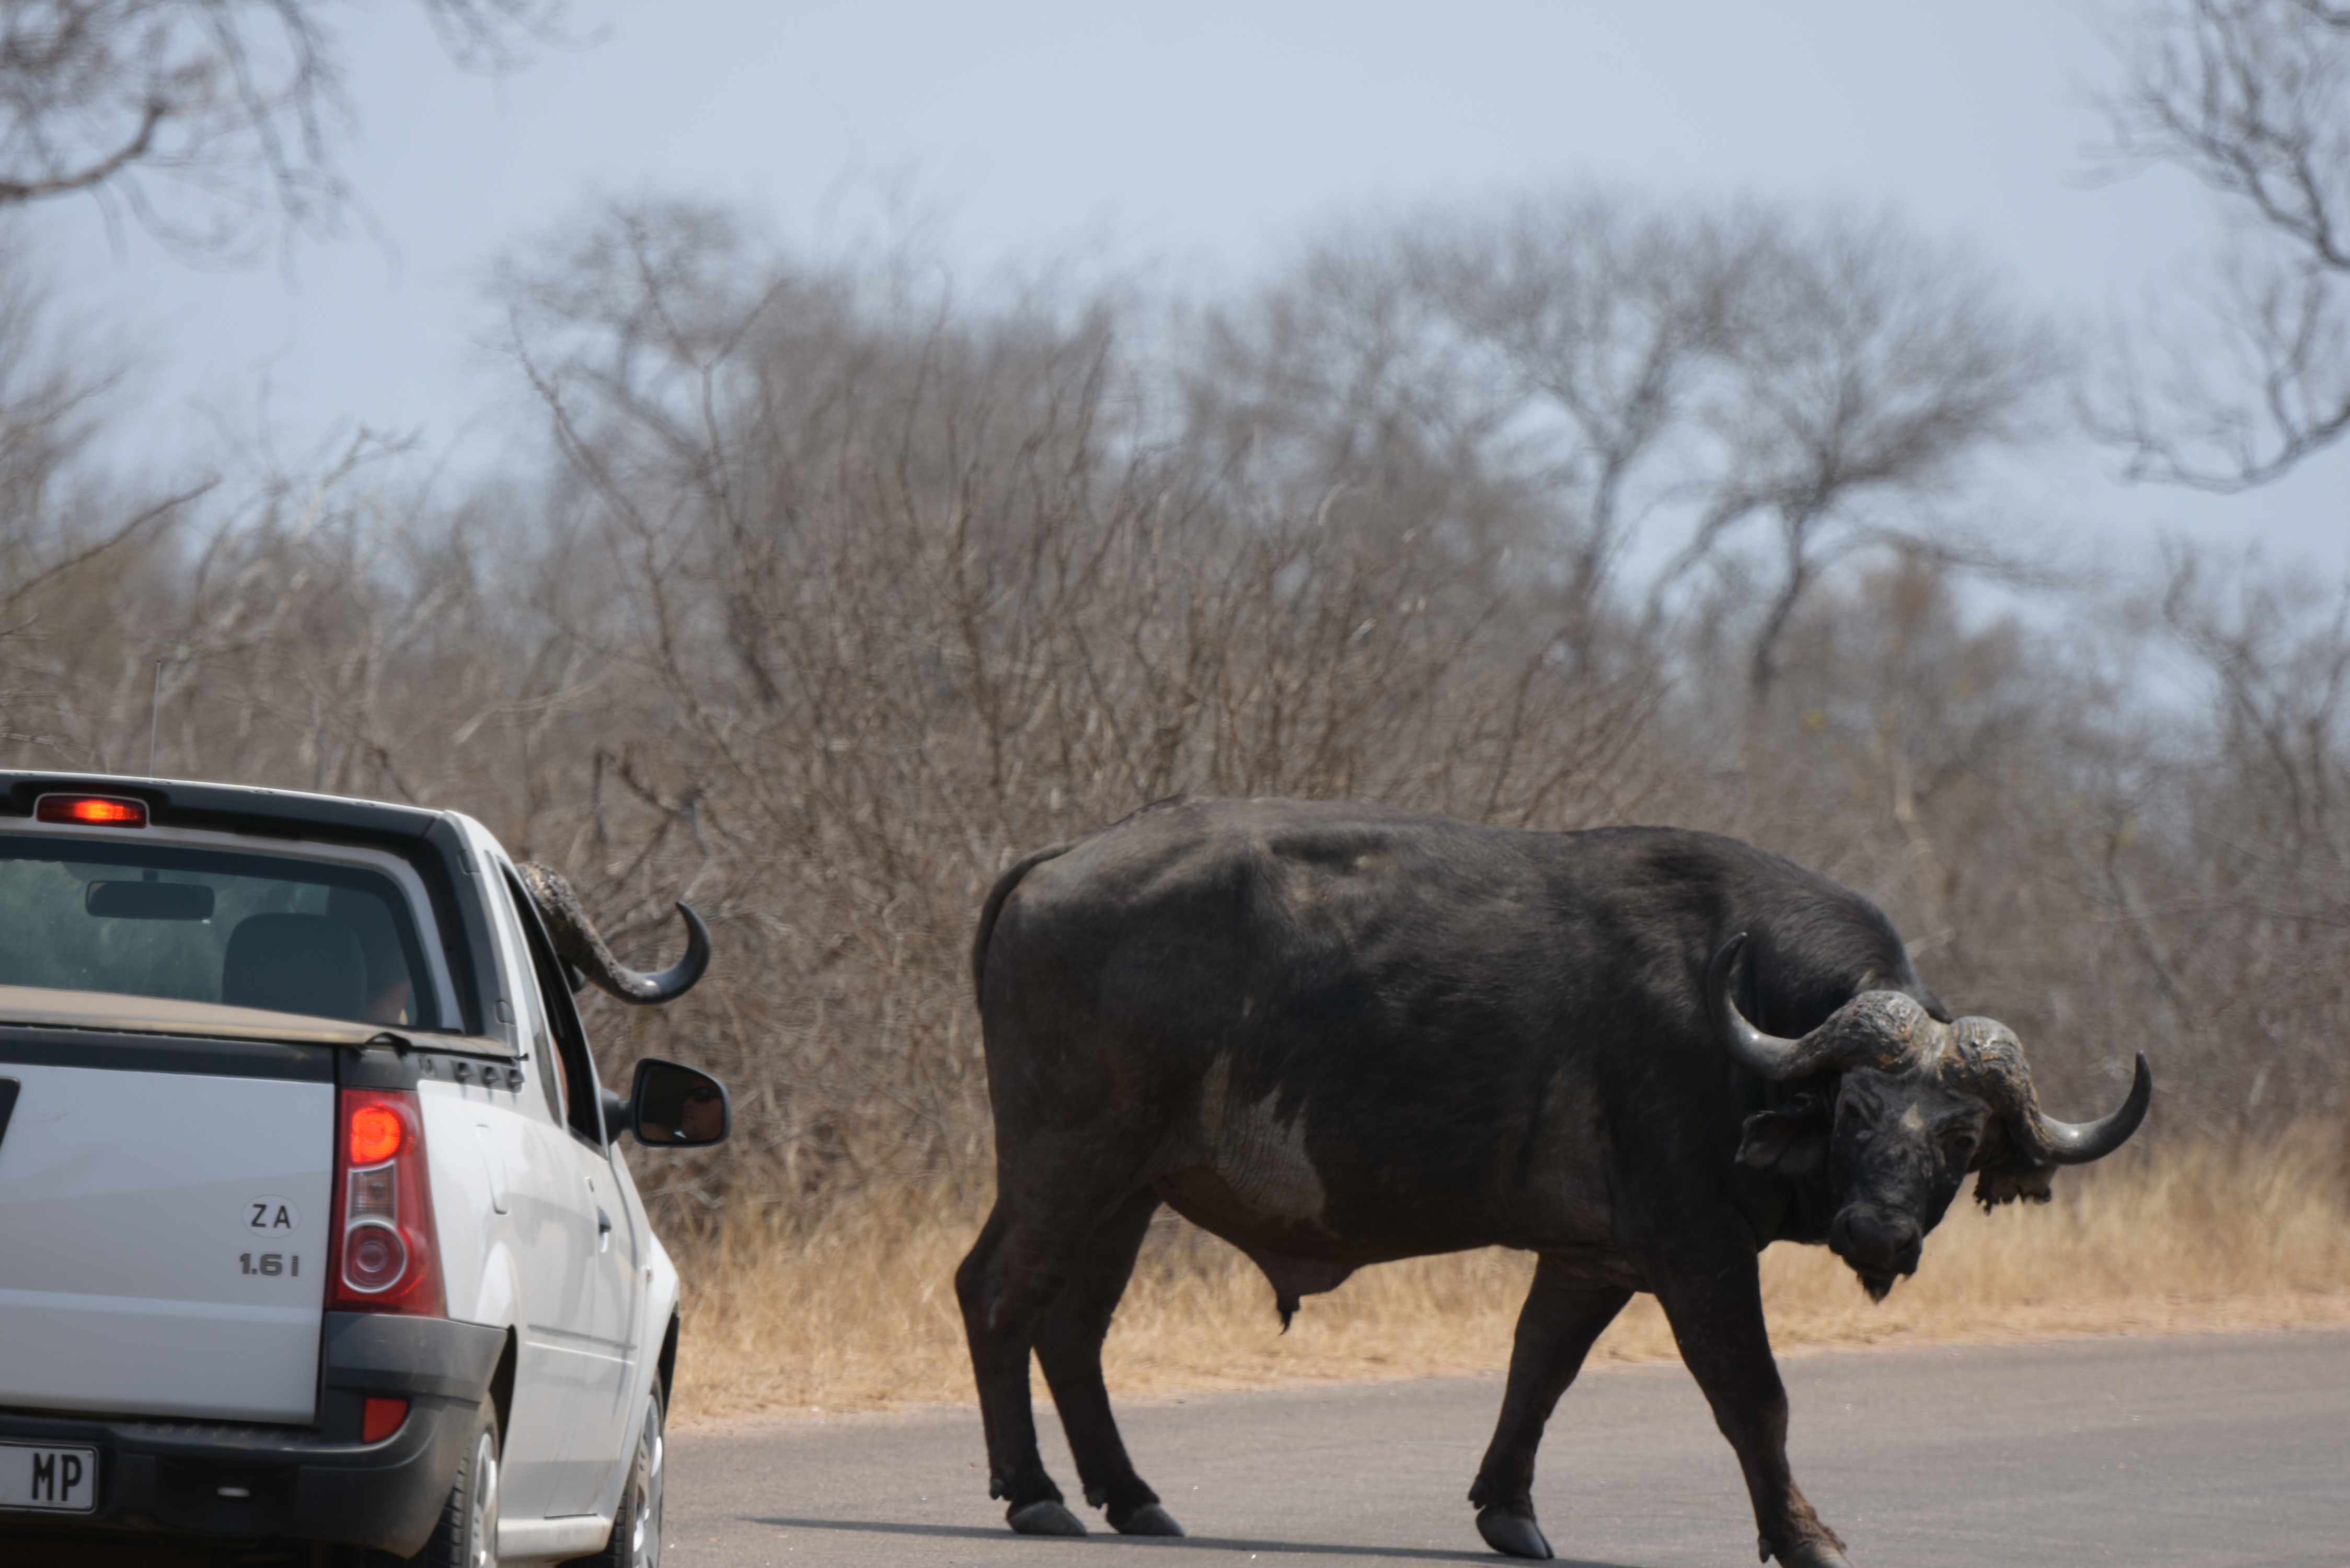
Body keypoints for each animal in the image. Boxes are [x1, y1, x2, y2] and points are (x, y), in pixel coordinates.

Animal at [954, 804, 2152, 1561]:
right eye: (1855, 1109)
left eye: (1959, 1136)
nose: (1879, 1231)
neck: (1739, 1018)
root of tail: (1057, 860)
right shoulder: (1696, 1249)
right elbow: (1751, 1396)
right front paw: (1803, 1535)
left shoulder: (1592, 1259)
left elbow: (1537, 1371)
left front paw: (1507, 1513)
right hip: (1071, 1156)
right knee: (996, 1295)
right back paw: (1035, 1495)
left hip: (1130, 1188)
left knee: (1072, 1326)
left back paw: (1131, 1497)